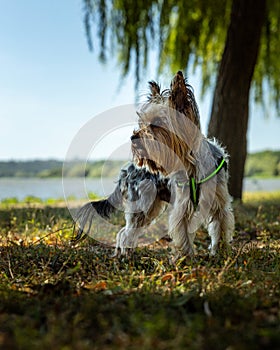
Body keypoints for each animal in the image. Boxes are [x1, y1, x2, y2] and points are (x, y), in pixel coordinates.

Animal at [74, 71, 234, 258]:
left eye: (157, 122)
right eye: (141, 123)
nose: (133, 138)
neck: (192, 164)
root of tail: (127, 170)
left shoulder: (219, 203)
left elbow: (220, 227)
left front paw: (221, 254)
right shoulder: (182, 205)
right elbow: (183, 233)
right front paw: (185, 258)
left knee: (126, 231)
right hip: (143, 205)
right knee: (125, 232)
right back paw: (125, 255)